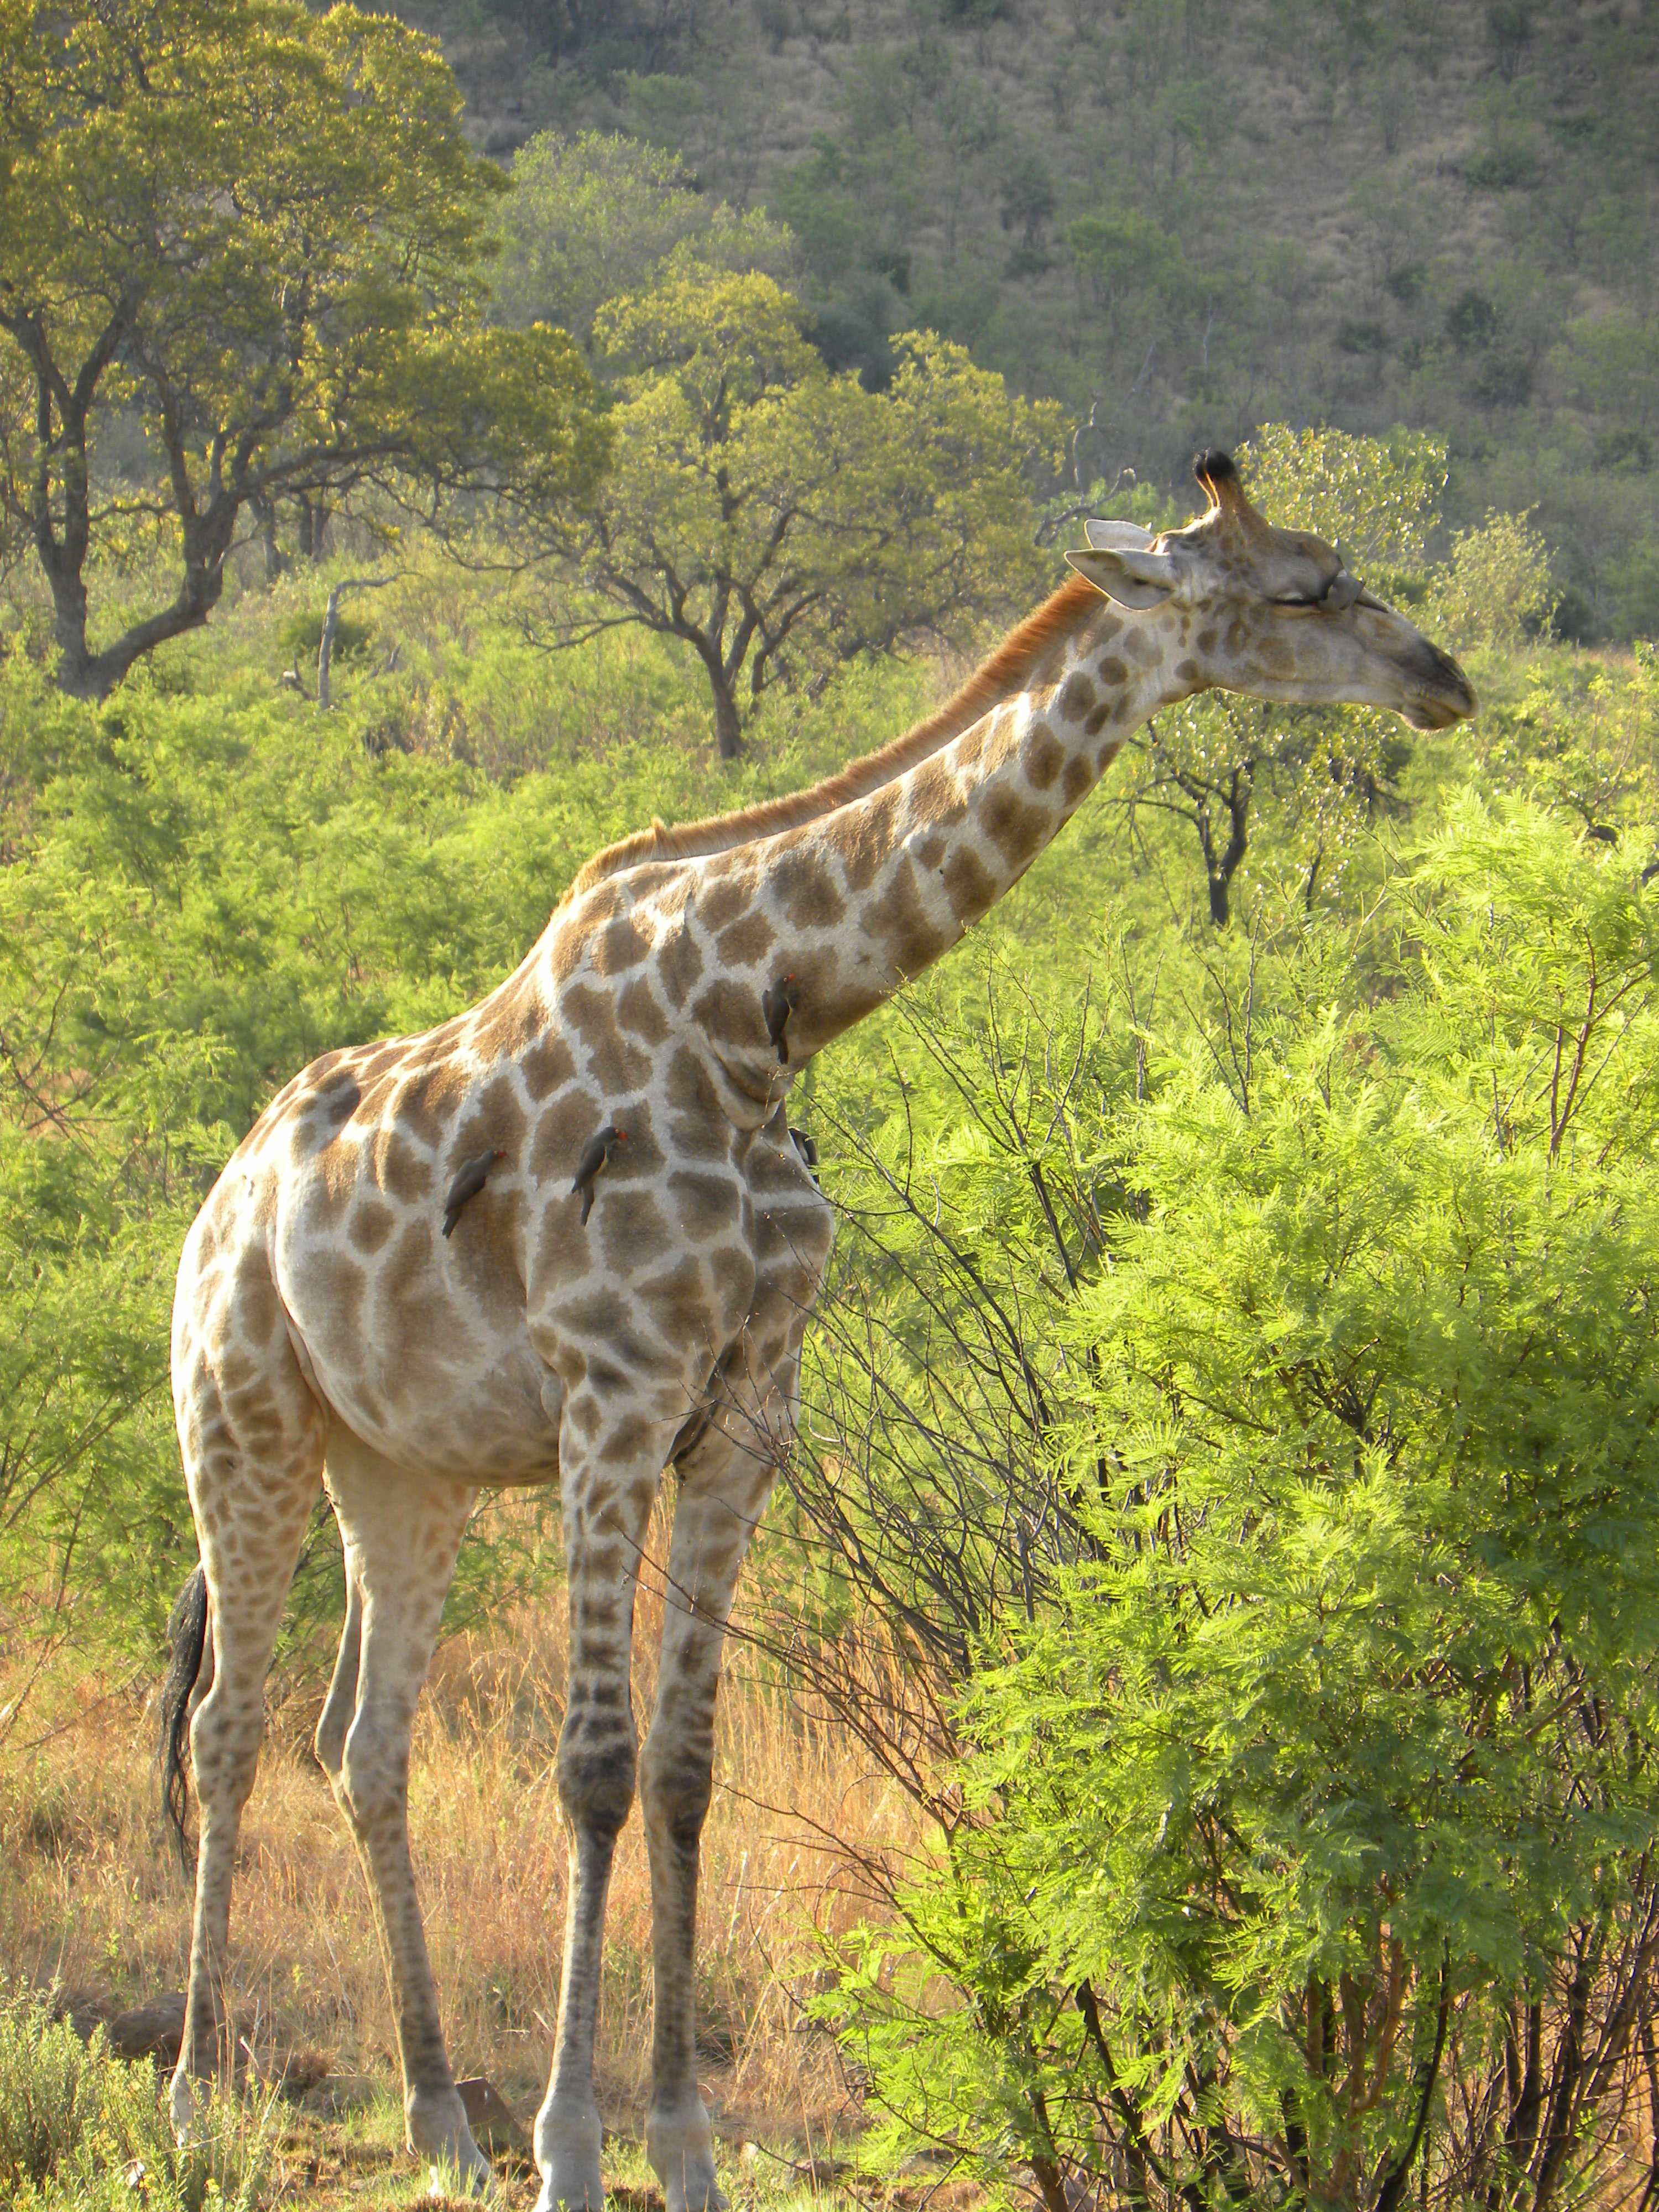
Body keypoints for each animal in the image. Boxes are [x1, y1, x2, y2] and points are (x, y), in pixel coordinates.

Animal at [163, 453, 1478, 2212]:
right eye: (1301, 590)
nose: (1442, 681)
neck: (756, 1022)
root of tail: (221, 1194)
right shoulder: (615, 1396)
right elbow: (590, 1769)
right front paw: (572, 2153)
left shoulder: (744, 1421)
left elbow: (684, 1772)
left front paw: (681, 2151)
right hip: (242, 1415)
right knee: (231, 1724)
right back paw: (195, 2096)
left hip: (404, 1470)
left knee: (360, 1741)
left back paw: (438, 2113)